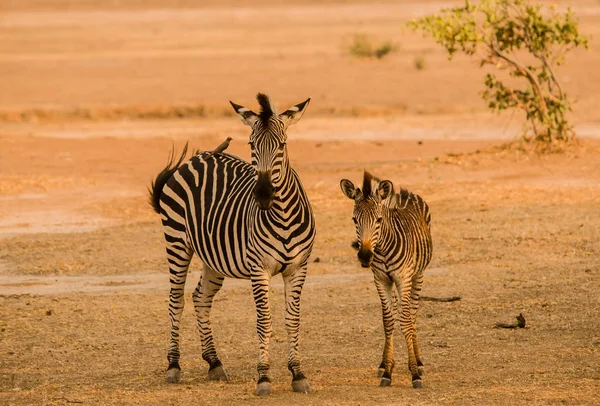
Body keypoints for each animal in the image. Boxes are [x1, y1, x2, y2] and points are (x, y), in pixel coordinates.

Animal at [149, 93, 316, 394]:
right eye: (251, 144)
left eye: (282, 145)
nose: (263, 195)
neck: (283, 215)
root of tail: (195, 158)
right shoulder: (259, 269)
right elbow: (264, 321)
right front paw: (264, 377)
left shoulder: (298, 268)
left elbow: (292, 320)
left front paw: (298, 373)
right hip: (177, 241)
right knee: (176, 300)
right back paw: (174, 365)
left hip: (214, 258)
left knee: (200, 298)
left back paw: (214, 362)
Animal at [342, 170, 432, 388]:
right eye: (354, 220)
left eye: (379, 220)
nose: (365, 256)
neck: (381, 249)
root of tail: (401, 194)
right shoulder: (381, 280)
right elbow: (388, 321)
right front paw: (388, 370)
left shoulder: (403, 278)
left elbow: (406, 321)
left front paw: (414, 373)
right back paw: (385, 364)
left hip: (417, 275)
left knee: (412, 313)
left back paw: (418, 361)